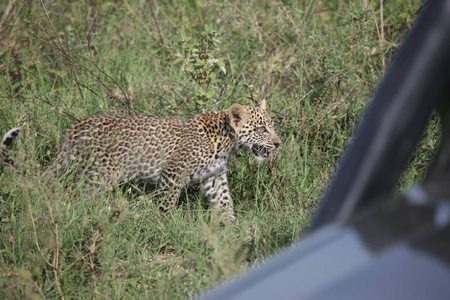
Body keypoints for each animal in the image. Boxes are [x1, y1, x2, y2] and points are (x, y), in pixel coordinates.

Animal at [1, 100, 280, 220]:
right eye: (262, 129)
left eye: (271, 126)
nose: (278, 143)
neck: (227, 141)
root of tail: (72, 130)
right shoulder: (173, 173)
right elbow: (166, 203)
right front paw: (165, 225)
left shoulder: (214, 177)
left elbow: (225, 202)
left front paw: (233, 229)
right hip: (100, 174)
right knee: (76, 194)